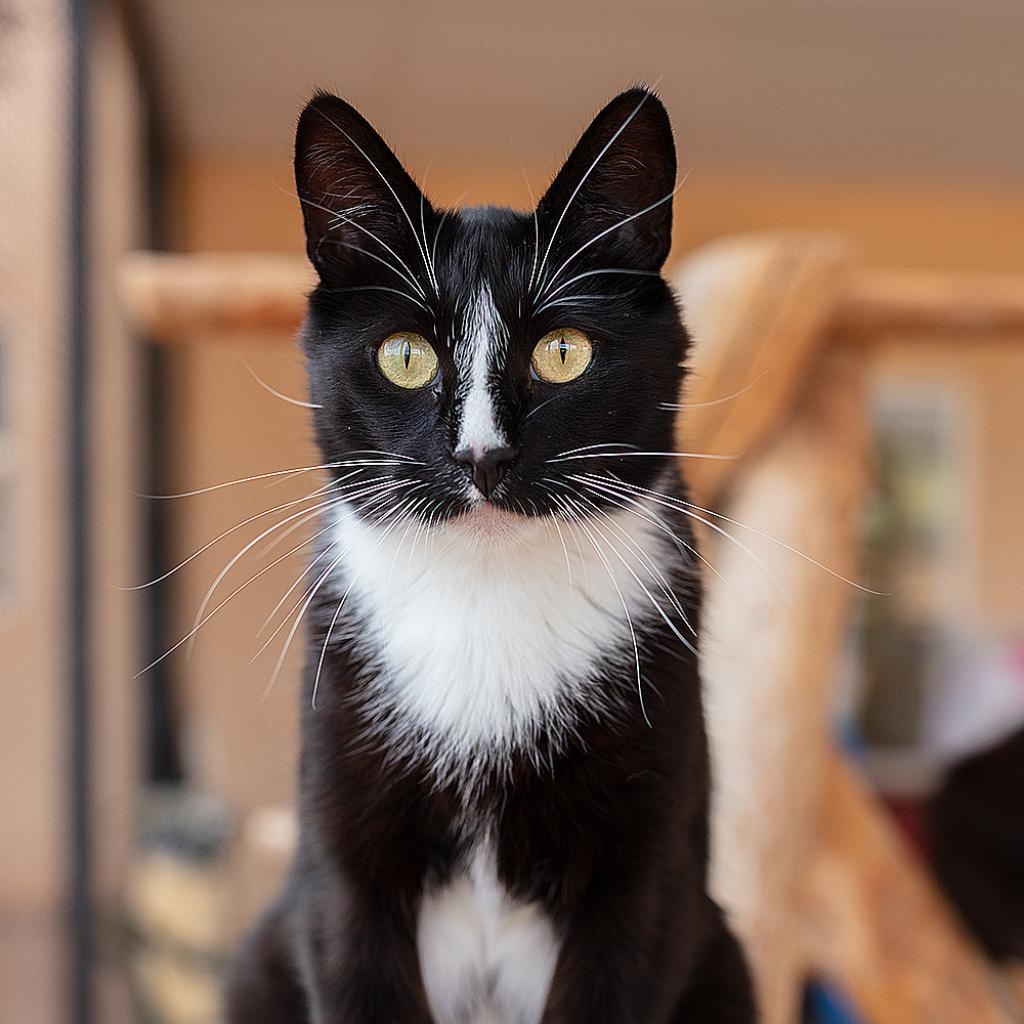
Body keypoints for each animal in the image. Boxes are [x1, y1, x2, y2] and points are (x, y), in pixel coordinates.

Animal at [228, 88, 757, 1024]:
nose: (481, 458)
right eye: (405, 356)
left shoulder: (647, 870)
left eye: (563, 351)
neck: (486, 600)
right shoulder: (341, 860)